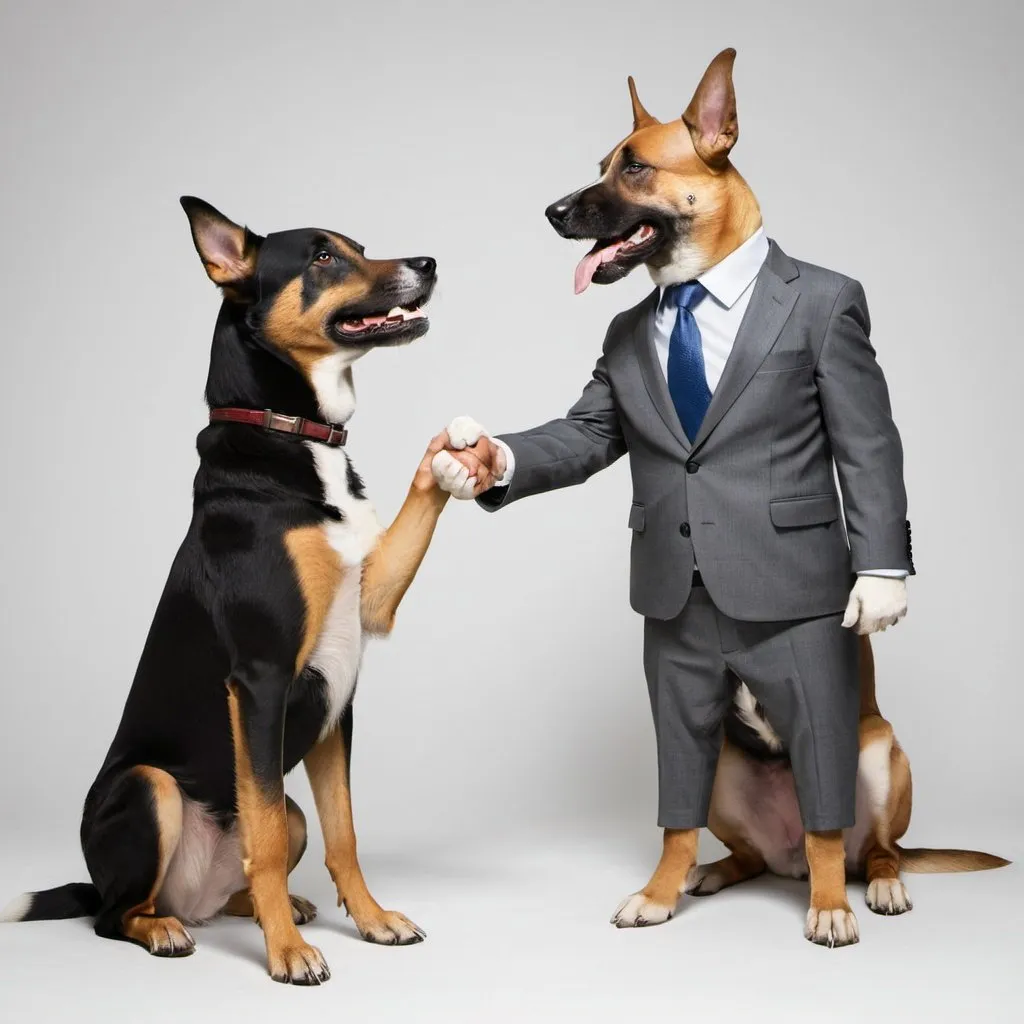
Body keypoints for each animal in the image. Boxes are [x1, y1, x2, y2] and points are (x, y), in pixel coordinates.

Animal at [0, 201, 471, 983]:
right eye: (321, 258)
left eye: (359, 246)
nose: (429, 264)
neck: (295, 433)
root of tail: (183, 898)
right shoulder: (262, 680)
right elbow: (270, 843)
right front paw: (288, 958)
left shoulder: (355, 646)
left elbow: (345, 834)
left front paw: (371, 921)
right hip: (150, 787)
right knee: (116, 914)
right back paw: (171, 929)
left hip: (271, 810)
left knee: (243, 875)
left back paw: (268, 910)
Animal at [432, 46, 1007, 942]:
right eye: (603, 163)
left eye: (634, 167)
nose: (552, 211)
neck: (699, 286)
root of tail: (781, 855)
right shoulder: (677, 696)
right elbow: (670, 823)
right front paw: (659, 892)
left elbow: (870, 455)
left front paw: (830, 913)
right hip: (720, 771)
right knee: (747, 846)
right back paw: (711, 874)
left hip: (879, 753)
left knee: (853, 838)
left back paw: (864, 886)